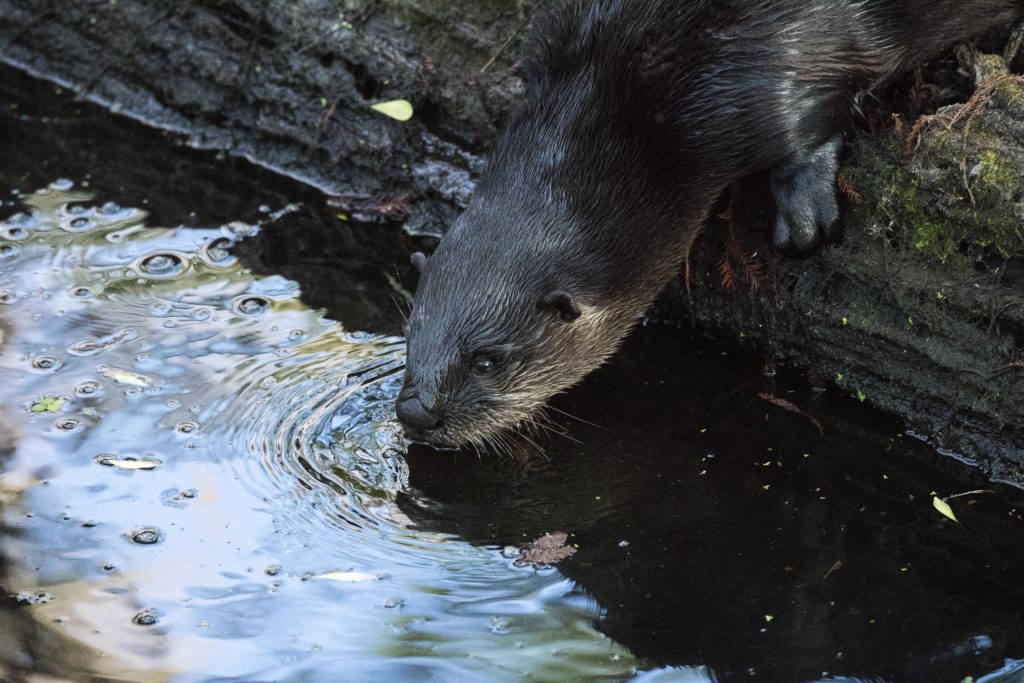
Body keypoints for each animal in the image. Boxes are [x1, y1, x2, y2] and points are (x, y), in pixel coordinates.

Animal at [393, 0, 1024, 448]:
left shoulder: (777, 65)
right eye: (411, 331)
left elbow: (817, 119)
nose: (415, 411)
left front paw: (805, 219)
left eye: (486, 360)